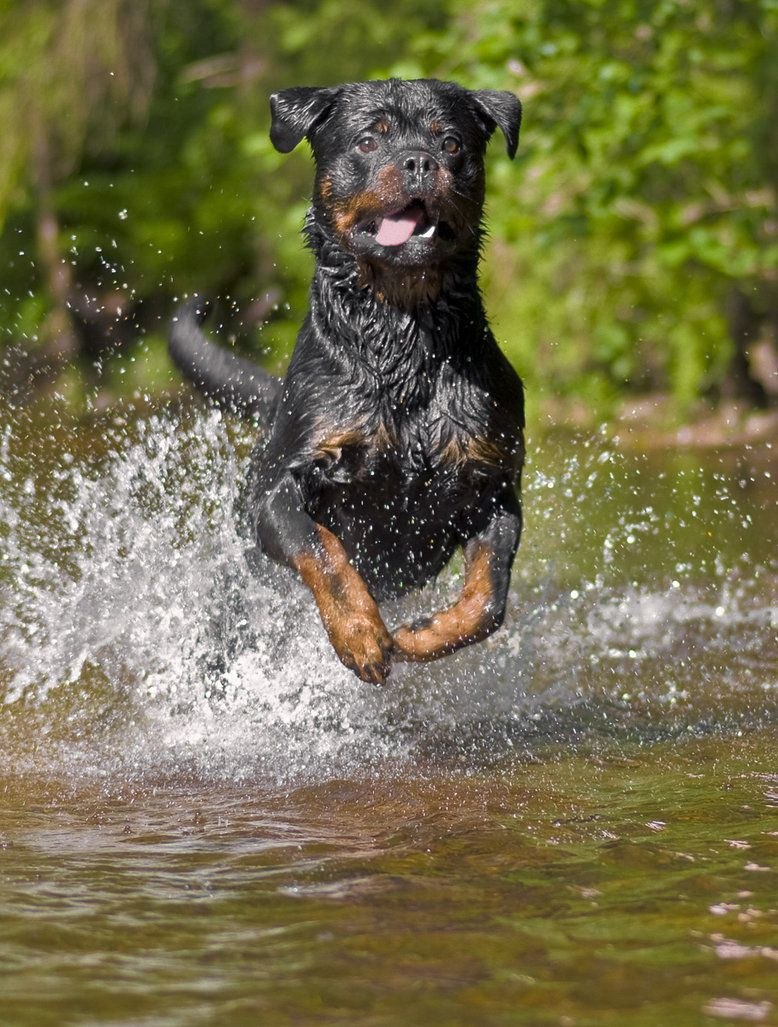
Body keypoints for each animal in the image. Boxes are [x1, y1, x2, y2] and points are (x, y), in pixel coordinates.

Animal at [170, 78, 523, 681]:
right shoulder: (279, 492)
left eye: (451, 143)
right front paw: (359, 632)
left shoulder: (494, 485)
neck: (404, 335)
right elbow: (323, 551)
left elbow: (488, 598)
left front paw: (423, 636)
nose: (419, 161)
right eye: (367, 141)